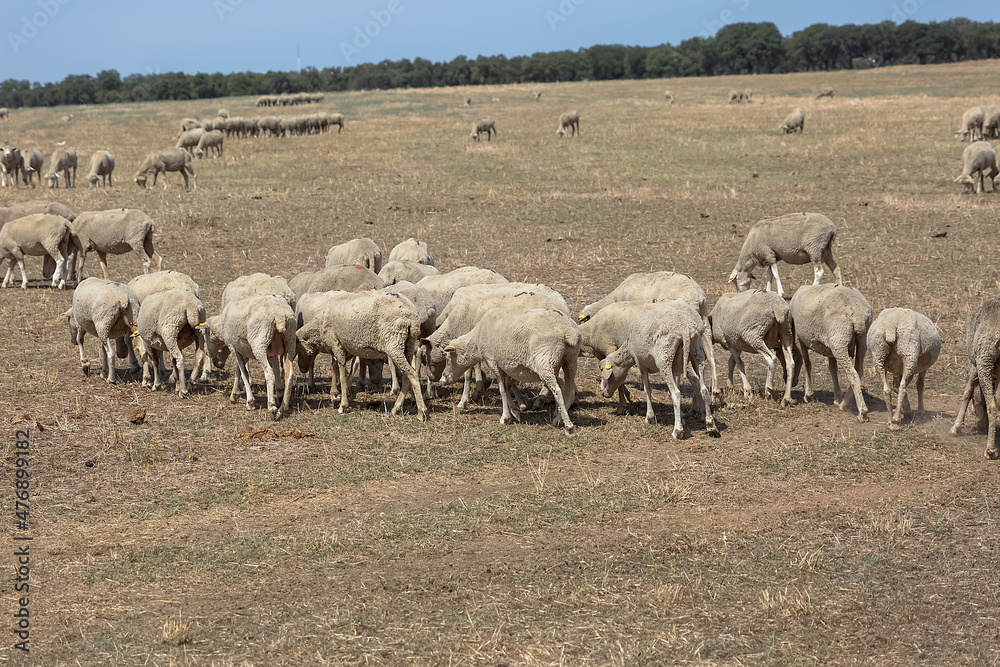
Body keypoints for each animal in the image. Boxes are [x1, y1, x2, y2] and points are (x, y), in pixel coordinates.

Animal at [292, 290, 428, 420]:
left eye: (298, 350)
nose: (302, 370)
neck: (319, 326)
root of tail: (412, 315)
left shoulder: (337, 345)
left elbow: (342, 376)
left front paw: (343, 405)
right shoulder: (347, 349)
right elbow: (338, 369)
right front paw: (336, 396)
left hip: (393, 343)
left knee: (412, 374)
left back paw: (421, 412)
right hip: (408, 345)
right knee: (407, 375)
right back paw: (396, 408)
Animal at [444, 306, 584, 436]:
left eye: (447, 358)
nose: (444, 377)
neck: (477, 339)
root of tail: (569, 332)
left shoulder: (493, 361)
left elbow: (502, 390)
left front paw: (505, 417)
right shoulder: (506, 366)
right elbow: (508, 387)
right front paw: (515, 412)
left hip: (545, 361)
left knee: (558, 391)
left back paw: (569, 427)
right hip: (570, 361)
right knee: (569, 392)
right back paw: (558, 419)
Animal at [592, 302, 720, 438]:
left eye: (603, 371)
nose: (603, 393)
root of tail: (685, 329)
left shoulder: (640, 363)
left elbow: (647, 389)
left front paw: (650, 418)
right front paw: (682, 417)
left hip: (664, 359)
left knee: (676, 393)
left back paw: (677, 430)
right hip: (697, 353)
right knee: (703, 389)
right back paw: (710, 425)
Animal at [784, 284, 872, 420]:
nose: (793, 383)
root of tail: (857, 314)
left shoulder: (801, 339)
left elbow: (807, 363)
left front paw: (808, 395)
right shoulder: (829, 347)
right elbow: (833, 369)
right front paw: (837, 396)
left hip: (839, 340)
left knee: (852, 374)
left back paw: (860, 411)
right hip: (860, 340)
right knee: (859, 370)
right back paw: (844, 403)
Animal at [948, 298, 1000, 460]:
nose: (979, 425)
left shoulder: (976, 363)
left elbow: (968, 391)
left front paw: (956, 428)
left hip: (984, 360)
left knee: (992, 406)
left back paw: (990, 450)